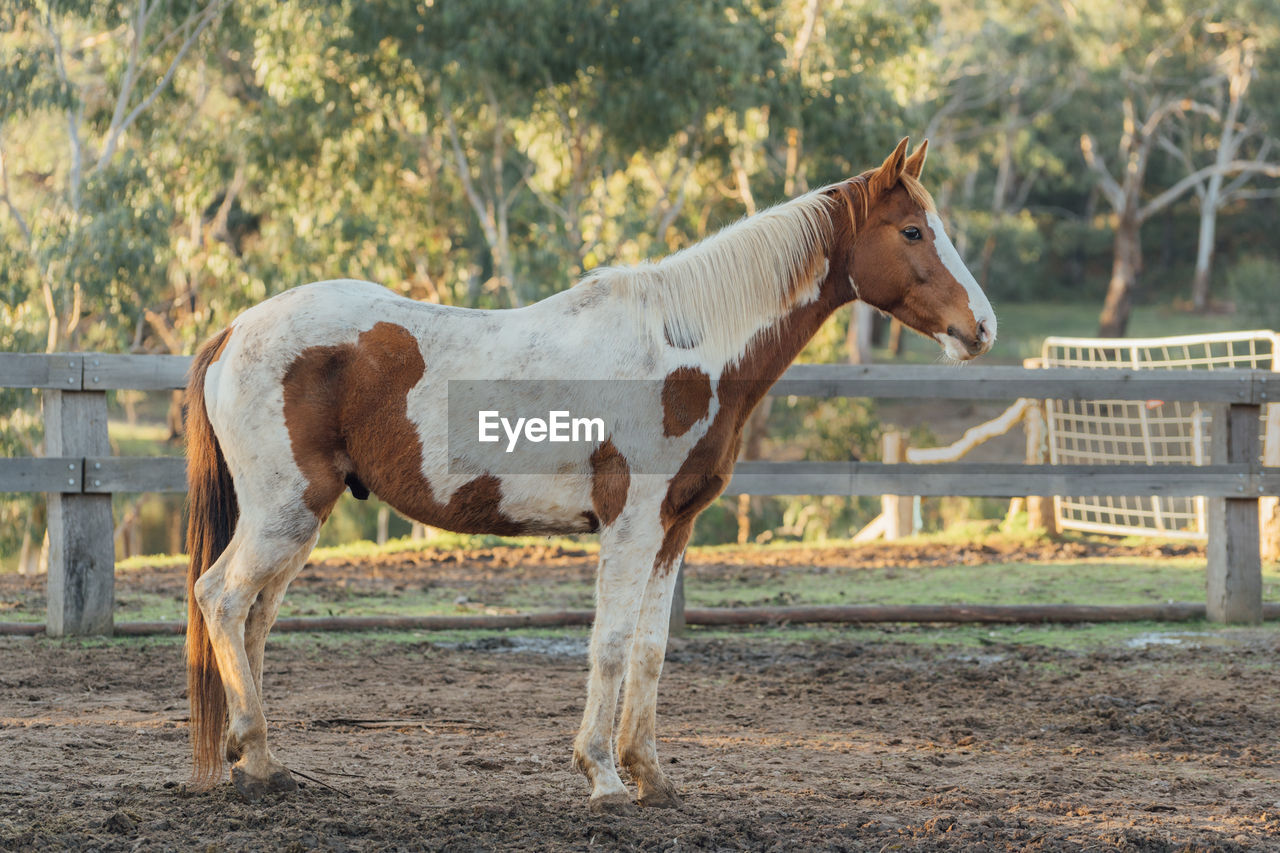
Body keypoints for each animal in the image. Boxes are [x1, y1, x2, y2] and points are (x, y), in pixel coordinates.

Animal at [185, 136, 993, 809]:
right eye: (913, 231)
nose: (981, 327)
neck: (683, 350)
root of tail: (236, 328)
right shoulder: (628, 524)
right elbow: (608, 644)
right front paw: (603, 776)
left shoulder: (674, 529)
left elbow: (650, 648)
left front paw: (650, 774)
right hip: (284, 514)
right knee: (222, 598)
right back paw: (256, 758)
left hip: (297, 522)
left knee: (255, 617)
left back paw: (256, 762)